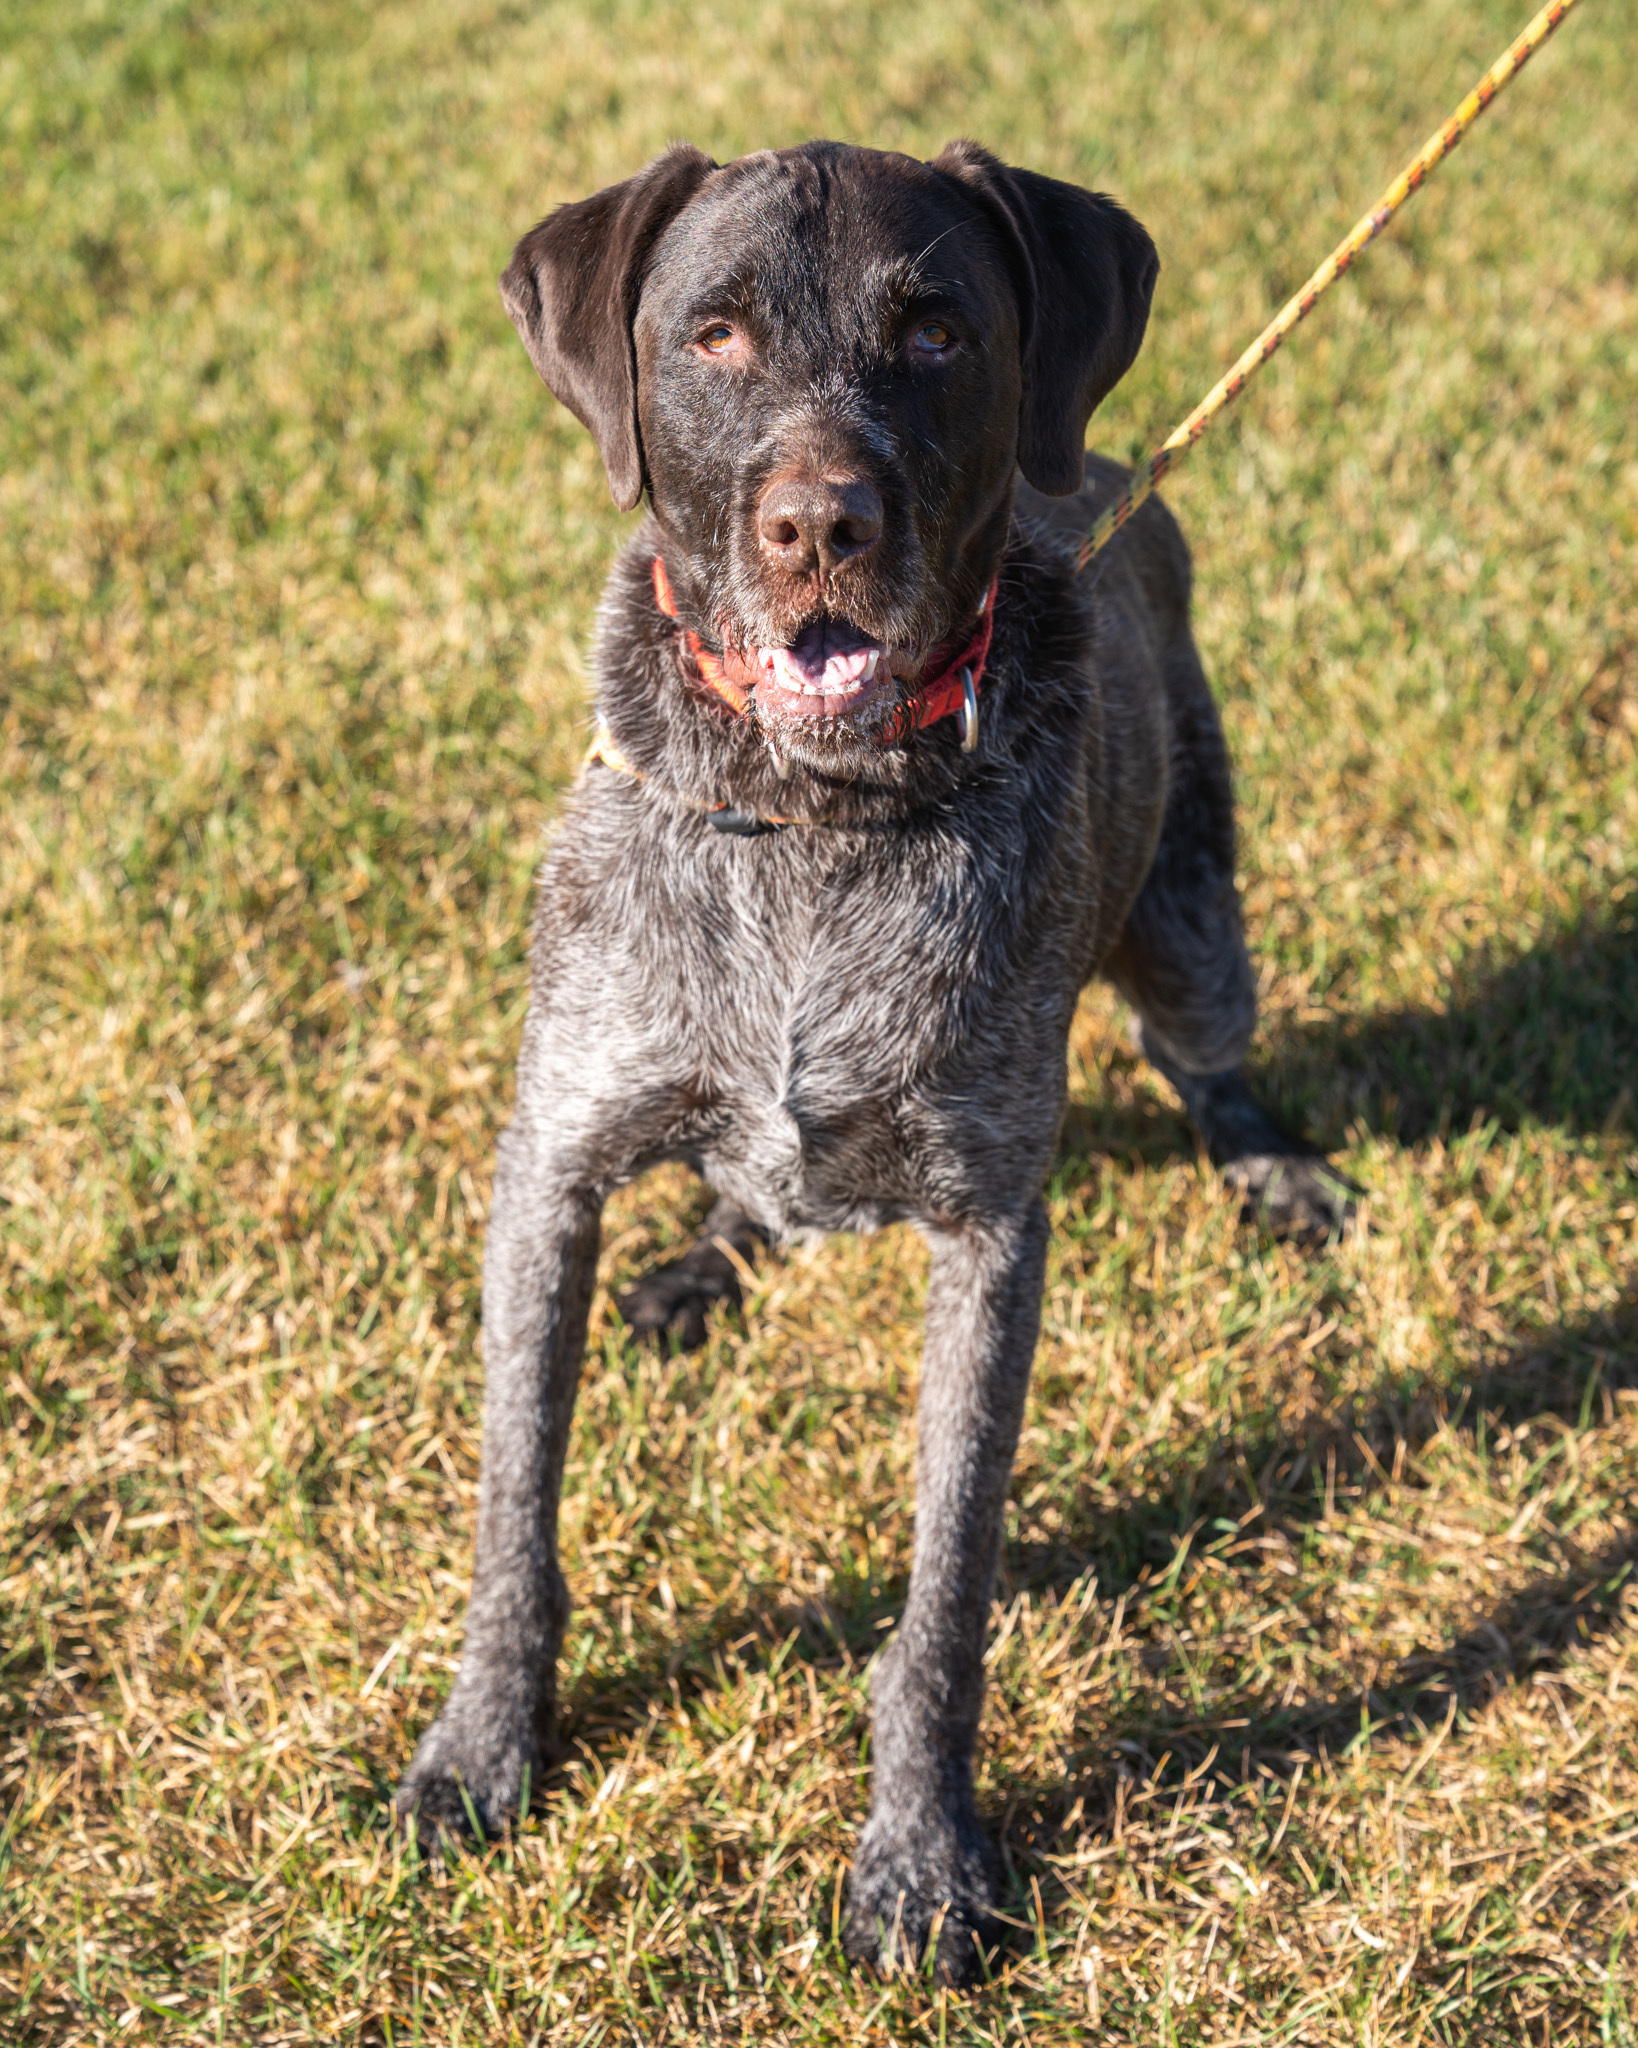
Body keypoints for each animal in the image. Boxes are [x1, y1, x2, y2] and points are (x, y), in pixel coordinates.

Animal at [391, 140, 1351, 1982]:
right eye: (711, 333)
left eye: (935, 329)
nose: (820, 524)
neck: (813, 816)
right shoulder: (549, 1169)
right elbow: (511, 1523)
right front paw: (481, 1749)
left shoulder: (989, 1237)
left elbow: (942, 1600)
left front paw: (921, 1855)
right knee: (738, 1189)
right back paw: (701, 1266)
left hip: (1193, 930)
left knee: (1209, 1056)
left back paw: (1271, 1168)